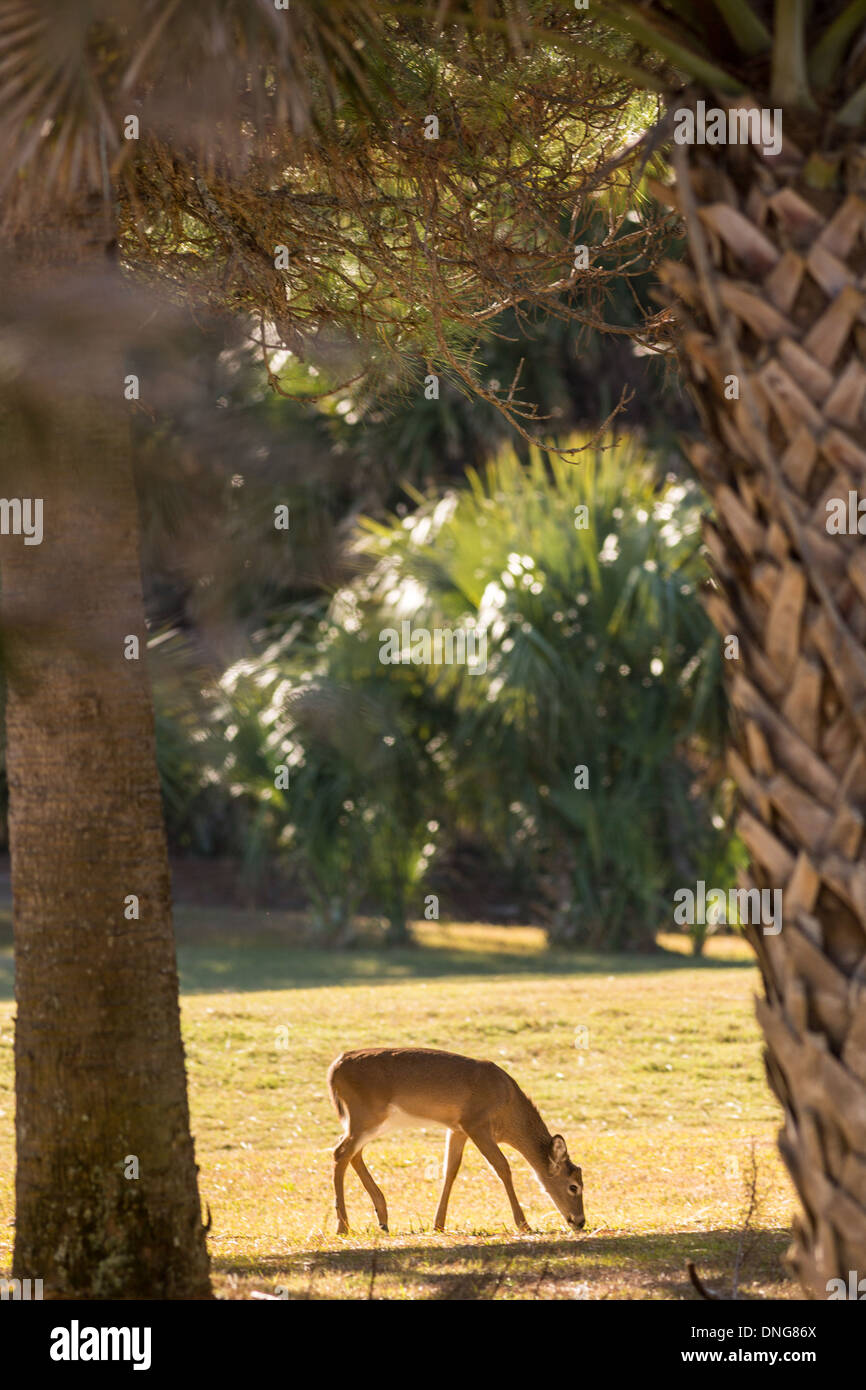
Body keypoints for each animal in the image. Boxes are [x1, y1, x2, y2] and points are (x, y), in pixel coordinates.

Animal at [328, 1045, 586, 1234]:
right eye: (574, 1186)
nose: (580, 1221)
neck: (507, 1105)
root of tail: (335, 1067)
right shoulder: (476, 1124)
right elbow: (503, 1167)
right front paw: (524, 1224)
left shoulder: (457, 1128)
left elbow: (450, 1170)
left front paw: (438, 1224)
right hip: (366, 1115)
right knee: (340, 1152)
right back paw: (343, 1226)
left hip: (369, 1121)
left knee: (352, 1153)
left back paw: (382, 1218)